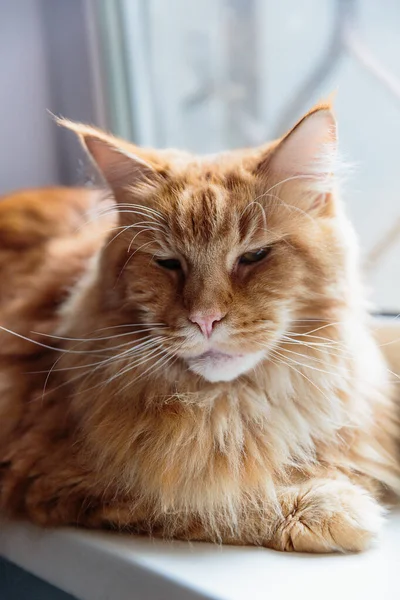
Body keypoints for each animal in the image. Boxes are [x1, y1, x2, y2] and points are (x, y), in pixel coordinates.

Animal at [0, 105, 398, 556]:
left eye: (254, 256)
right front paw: (329, 506)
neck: (228, 410)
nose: (205, 319)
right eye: (167, 262)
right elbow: (213, 501)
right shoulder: (55, 476)